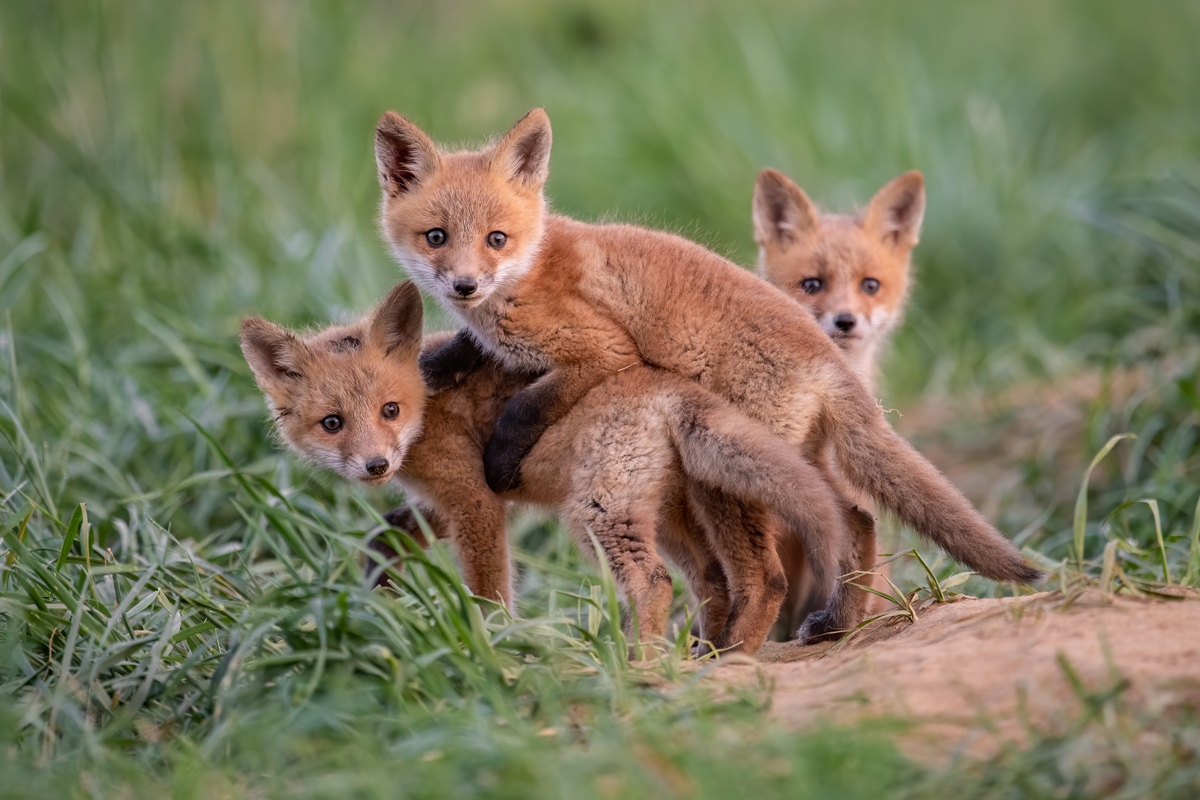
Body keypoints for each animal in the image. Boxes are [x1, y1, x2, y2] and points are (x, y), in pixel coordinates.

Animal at [240, 281, 872, 654]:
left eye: (389, 410)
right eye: (332, 423)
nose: (375, 465)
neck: (429, 406)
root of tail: (665, 383)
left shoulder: (475, 501)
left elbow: (490, 590)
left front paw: (491, 643)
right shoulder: (460, 500)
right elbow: (387, 534)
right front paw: (377, 597)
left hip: (599, 511)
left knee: (663, 581)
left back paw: (645, 662)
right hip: (666, 512)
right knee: (723, 576)